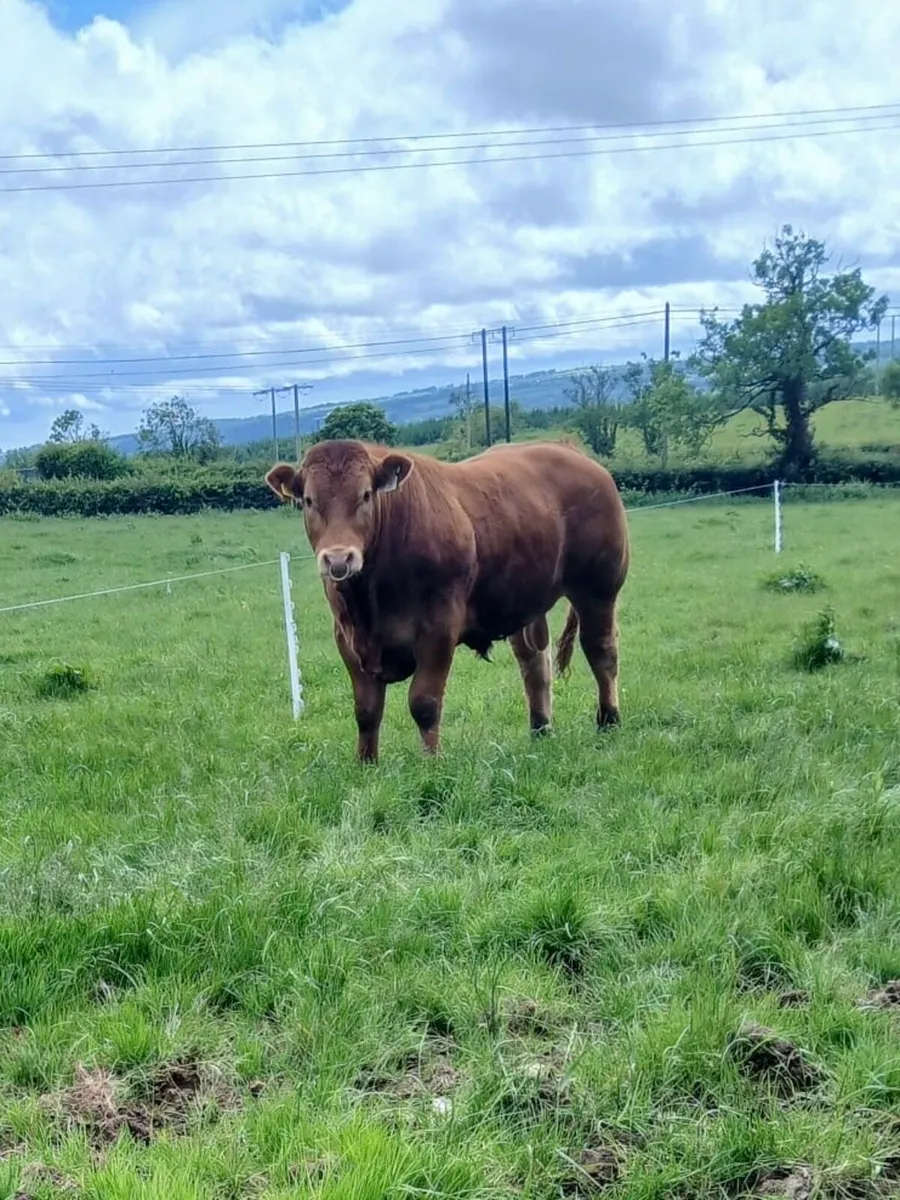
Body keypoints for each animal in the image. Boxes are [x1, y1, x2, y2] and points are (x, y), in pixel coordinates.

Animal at [265, 438, 629, 763]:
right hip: (525, 599)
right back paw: (540, 729)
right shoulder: (347, 637)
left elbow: (424, 702)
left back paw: (608, 720)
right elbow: (366, 709)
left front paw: (432, 762)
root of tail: (568, 449)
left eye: (365, 495)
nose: (339, 559)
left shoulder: (438, 629)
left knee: (601, 652)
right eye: (308, 500)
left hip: (597, 589)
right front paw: (366, 764)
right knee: (535, 663)